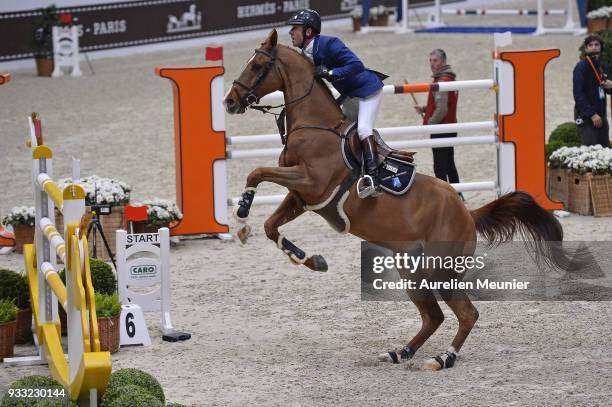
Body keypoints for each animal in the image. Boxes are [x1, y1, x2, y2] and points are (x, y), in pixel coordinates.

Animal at [225, 30, 572, 372]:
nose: (229, 101)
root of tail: (467, 213)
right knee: (434, 316)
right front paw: (307, 258)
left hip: (440, 270)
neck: (314, 125)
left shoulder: (312, 183)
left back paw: (443, 358)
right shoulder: (303, 197)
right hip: (412, 268)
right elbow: (271, 225)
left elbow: (257, 171)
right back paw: (400, 352)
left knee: (466, 313)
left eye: (257, 65)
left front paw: (241, 212)